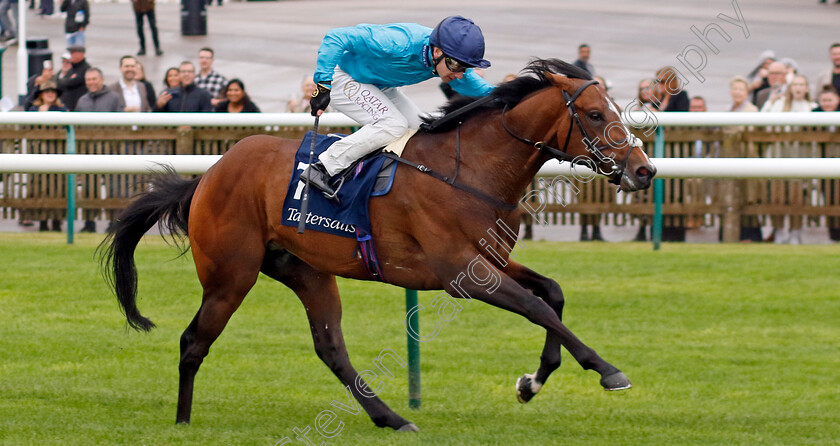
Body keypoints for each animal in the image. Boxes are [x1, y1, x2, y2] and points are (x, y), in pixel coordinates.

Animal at [100, 57, 656, 430]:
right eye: (595, 114)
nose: (644, 170)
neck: (469, 171)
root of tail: (209, 176)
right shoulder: (461, 275)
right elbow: (538, 308)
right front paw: (608, 370)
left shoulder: (489, 261)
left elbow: (553, 294)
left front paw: (530, 382)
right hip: (230, 274)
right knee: (194, 340)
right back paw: (182, 422)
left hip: (305, 269)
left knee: (330, 346)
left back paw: (390, 416)